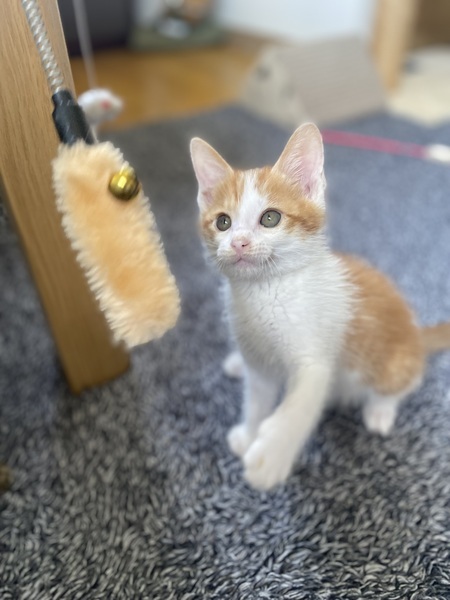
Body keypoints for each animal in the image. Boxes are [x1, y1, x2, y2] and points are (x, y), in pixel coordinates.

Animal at [190, 123, 450, 491]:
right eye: (223, 222)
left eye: (270, 218)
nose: (238, 242)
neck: (265, 292)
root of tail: (415, 333)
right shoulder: (257, 361)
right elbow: (257, 399)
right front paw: (250, 432)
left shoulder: (315, 356)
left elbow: (300, 404)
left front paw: (271, 454)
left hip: (391, 363)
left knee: (405, 382)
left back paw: (380, 410)